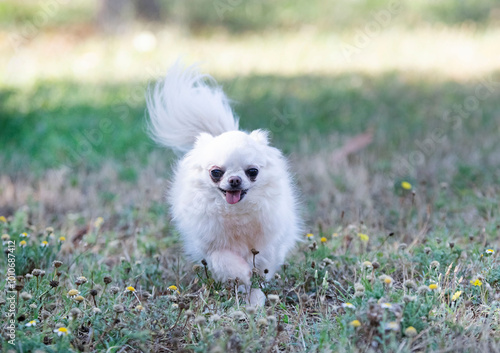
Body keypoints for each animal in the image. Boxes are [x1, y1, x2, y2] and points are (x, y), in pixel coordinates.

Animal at [146, 62, 300, 304]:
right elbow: (226, 261)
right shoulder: (211, 247)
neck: (235, 213)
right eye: (216, 172)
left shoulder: (268, 244)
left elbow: (262, 268)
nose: (235, 180)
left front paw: (255, 296)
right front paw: (242, 276)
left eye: (253, 171)